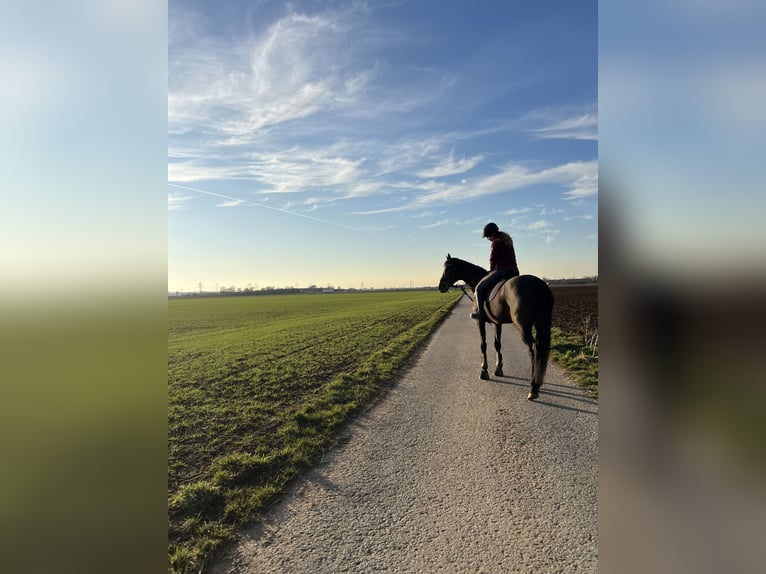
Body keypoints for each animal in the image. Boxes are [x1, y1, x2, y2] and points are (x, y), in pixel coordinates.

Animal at [438, 254, 554, 400]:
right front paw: (498, 369)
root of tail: (539, 285)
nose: (440, 286)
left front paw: (484, 370)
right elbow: (497, 344)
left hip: (523, 326)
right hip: (542, 323)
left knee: (533, 350)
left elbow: (483, 345)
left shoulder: (479, 321)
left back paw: (533, 387)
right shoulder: (497, 323)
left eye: (448, 268)